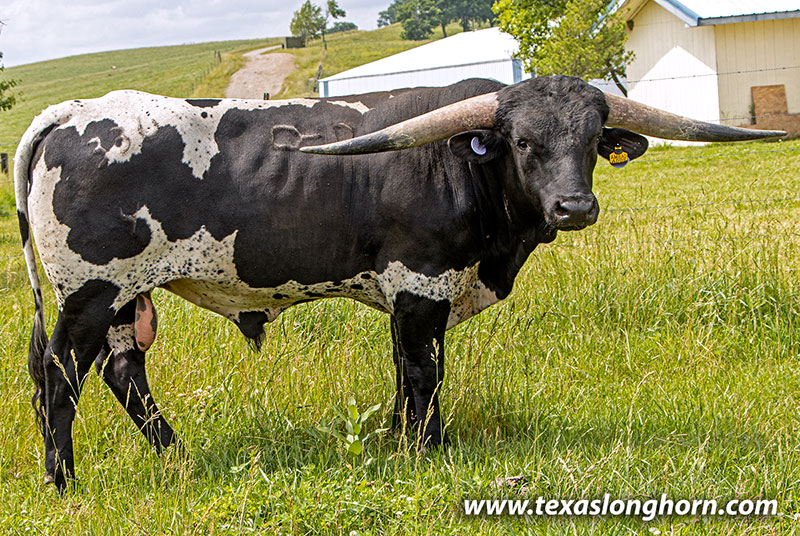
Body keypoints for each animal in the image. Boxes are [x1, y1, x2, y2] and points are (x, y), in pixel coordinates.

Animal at [14, 75, 784, 490]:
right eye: (524, 142)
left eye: (594, 141)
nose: (575, 207)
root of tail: (71, 112)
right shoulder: (421, 286)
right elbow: (423, 372)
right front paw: (426, 449)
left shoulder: (408, 296)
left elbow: (401, 372)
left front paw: (394, 439)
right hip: (90, 292)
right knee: (59, 376)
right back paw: (64, 481)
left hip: (125, 299)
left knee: (122, 373)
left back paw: (175, 457)